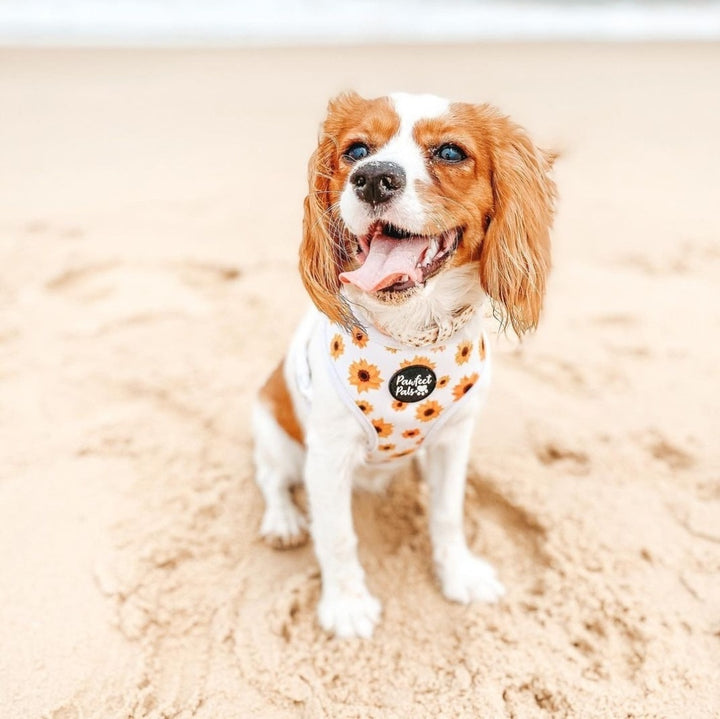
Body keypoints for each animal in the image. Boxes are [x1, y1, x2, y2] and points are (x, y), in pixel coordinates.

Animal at [253, 93, 556, 640]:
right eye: (356, 150)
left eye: (451, 152)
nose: (373, 177)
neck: (410, 340)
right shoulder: (326, 456)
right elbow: (337, 537)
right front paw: (347, 605)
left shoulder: (454, 440)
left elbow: (448, 514)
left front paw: (459, 574)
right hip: (274, 431)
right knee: (271, 478)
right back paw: (283, 520)